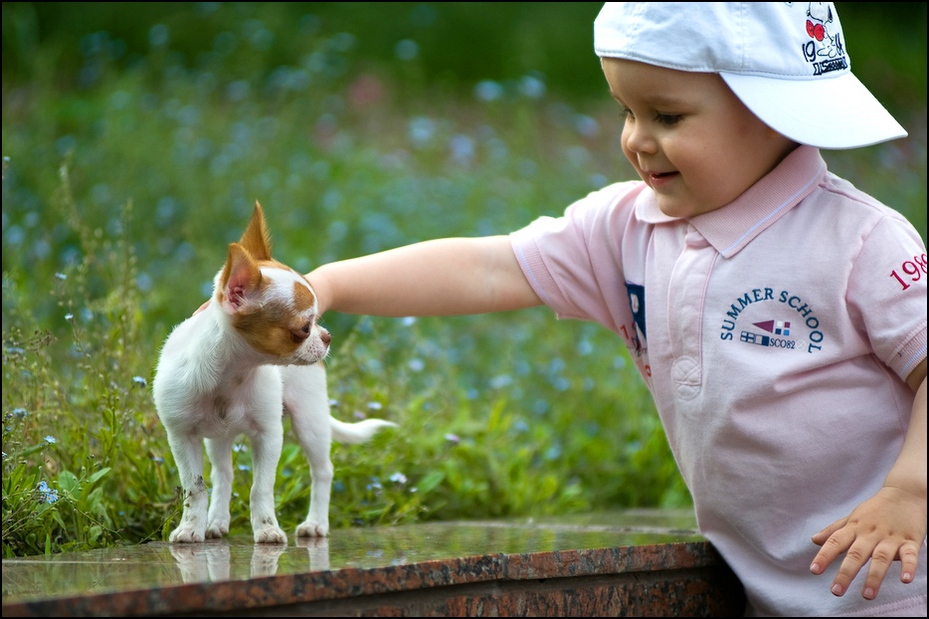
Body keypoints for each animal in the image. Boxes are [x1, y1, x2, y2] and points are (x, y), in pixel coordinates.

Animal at [154, 202, 394, 544]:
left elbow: (261, 487)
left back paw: (315, 523)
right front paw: (190, 528)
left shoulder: (268, 436)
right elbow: (195, 487)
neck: (232, 375)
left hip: (310, 420)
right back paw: (216, 522)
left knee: (323, 471)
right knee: (223, 474)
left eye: (316, 321)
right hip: (218, 437)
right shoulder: (181, 436)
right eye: (304, 328)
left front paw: (267, 528)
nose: (326, 337)